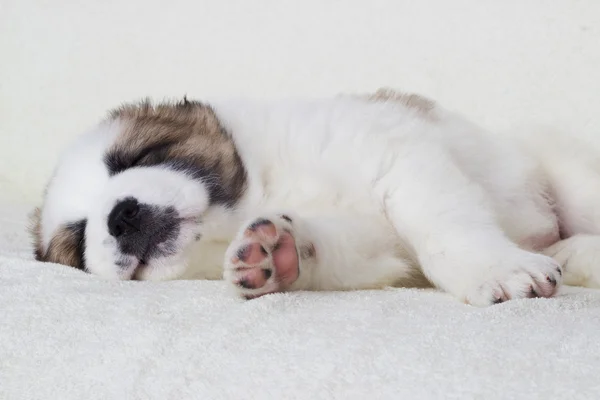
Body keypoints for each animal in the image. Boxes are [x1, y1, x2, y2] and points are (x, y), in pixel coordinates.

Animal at [30, 88, 600, 306]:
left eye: (137, 156)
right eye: (78, 239)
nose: (120, 218)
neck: (262, 188)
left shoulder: (398, 157)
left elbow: (443, 225)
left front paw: (494, 271)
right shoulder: (373, 249)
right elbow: (339, 251)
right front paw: (276, 252)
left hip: (569, 176)